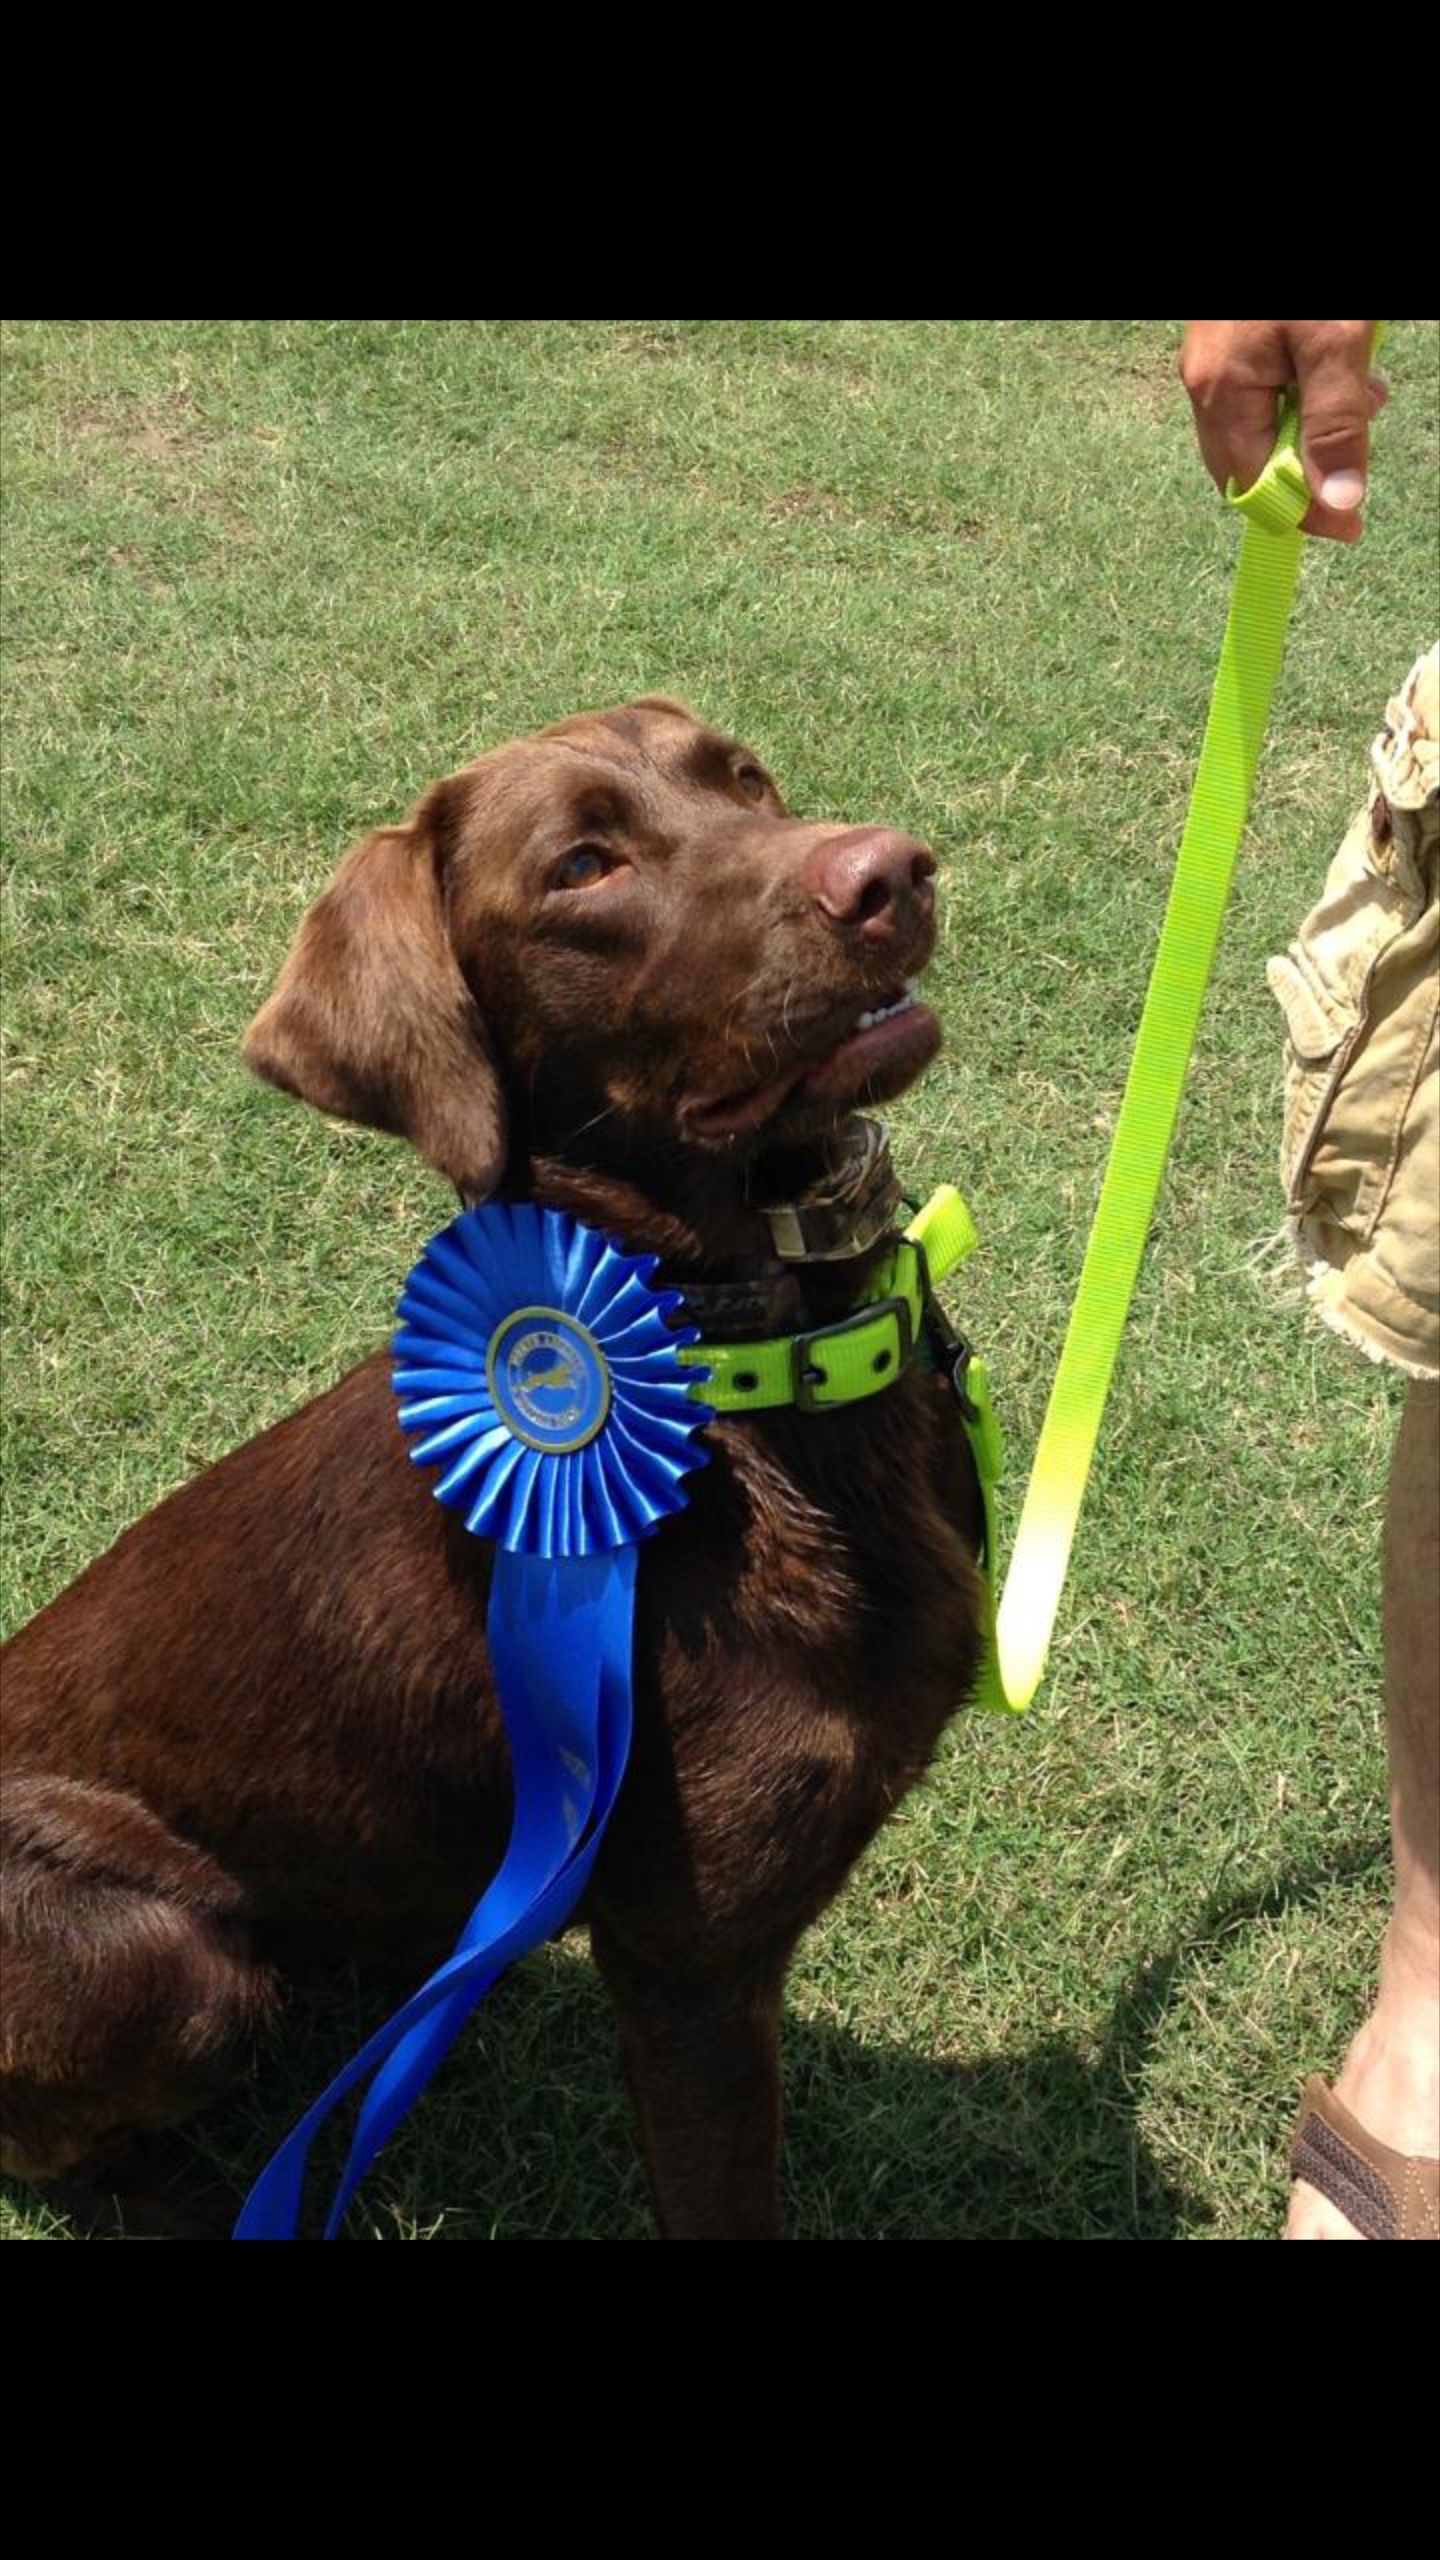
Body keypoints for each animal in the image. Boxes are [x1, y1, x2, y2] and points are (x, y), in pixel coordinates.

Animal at [0, 706, 978, 2242]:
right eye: (582, 865)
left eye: (744, 776)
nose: (889, 873)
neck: (739, 1370)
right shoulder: (692, 1968)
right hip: (160, 1954)